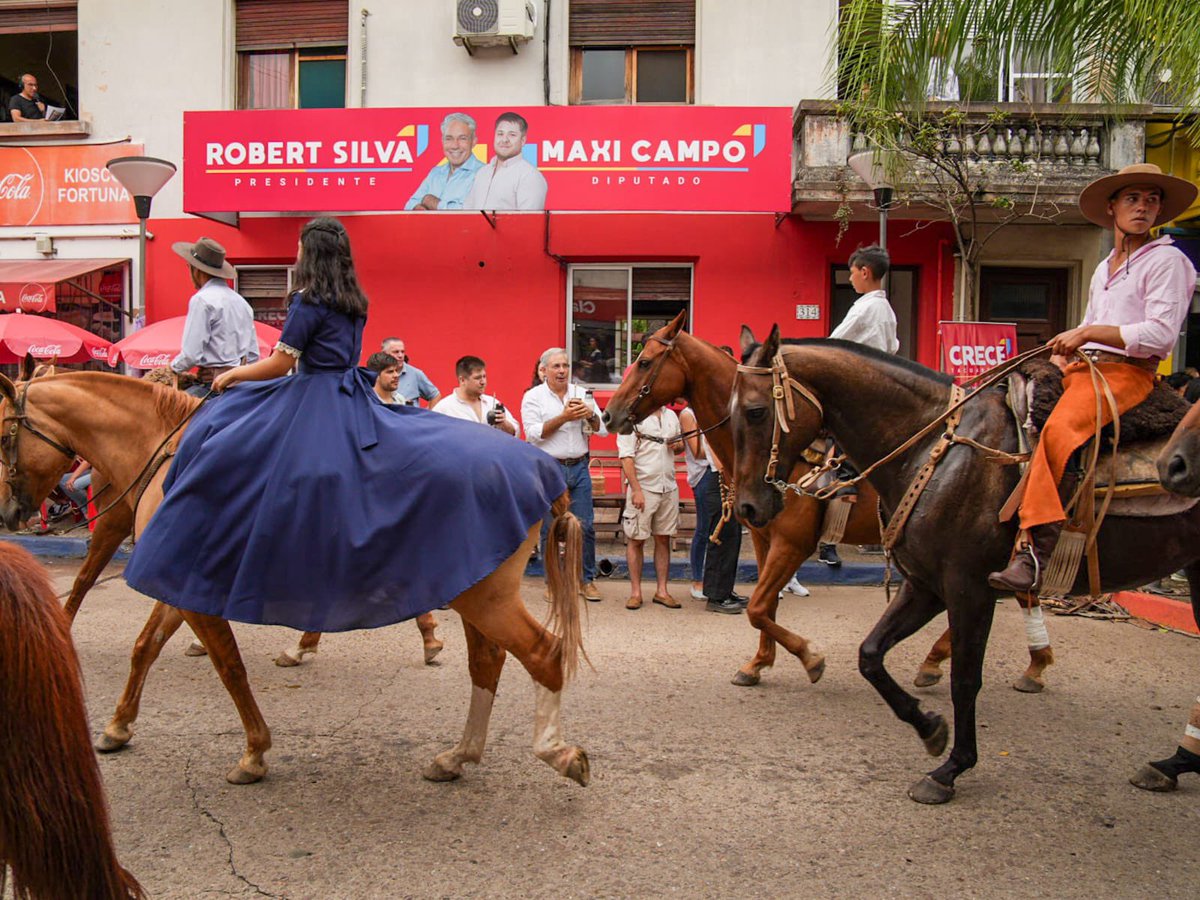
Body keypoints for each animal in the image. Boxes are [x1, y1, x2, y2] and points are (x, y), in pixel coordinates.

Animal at [0, 369, 590, 787]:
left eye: (4, 435)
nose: (11, 512)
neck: (166, 452)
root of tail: (538, 470)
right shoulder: (176, 581)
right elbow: (145, 647)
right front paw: (118, 727)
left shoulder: (189, 584)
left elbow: (229, 666)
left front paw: (255, 752)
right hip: (474, 589)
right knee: (487, 661)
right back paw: (457, 755)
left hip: (485, 597)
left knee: (543, 654)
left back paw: (557, 751)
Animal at [604, 314, 1056, 696]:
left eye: (644, 361)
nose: (609, 414)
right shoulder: (764, 536)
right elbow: (763, 607)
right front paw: (758, 664)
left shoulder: (793, 540)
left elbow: (759, 606)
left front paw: (809, 658)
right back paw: (971, 661)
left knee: (1013, 593)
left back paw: (1020, 664)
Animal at [729, 328, 1200, 801]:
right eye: (732, 412)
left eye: (756, 410)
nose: (748, 507)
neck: (929, 448)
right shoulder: (925, 584)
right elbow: (869, 655)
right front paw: (929, 728)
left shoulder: (967, 586)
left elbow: (965, 679)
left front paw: (952, 767)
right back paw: (1171, 763)